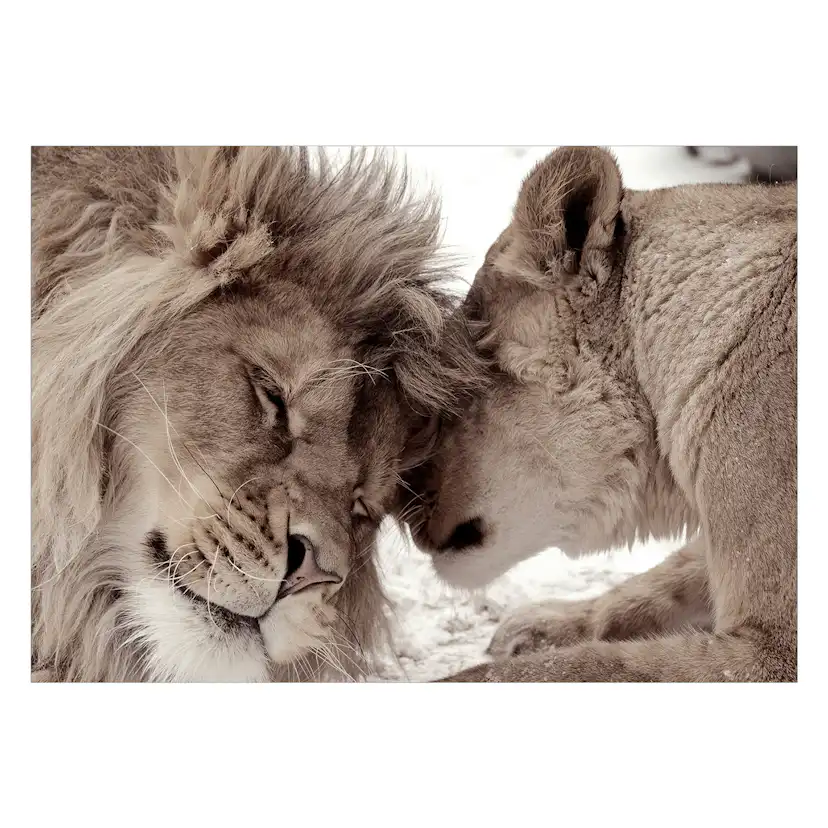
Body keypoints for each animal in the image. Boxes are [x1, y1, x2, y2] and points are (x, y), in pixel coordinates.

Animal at [404, 146, 797, 682]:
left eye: (452, 392)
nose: (398, 505)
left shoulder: (773, 651)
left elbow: (578, 667)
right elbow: (663, 581)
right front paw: (541, 625)